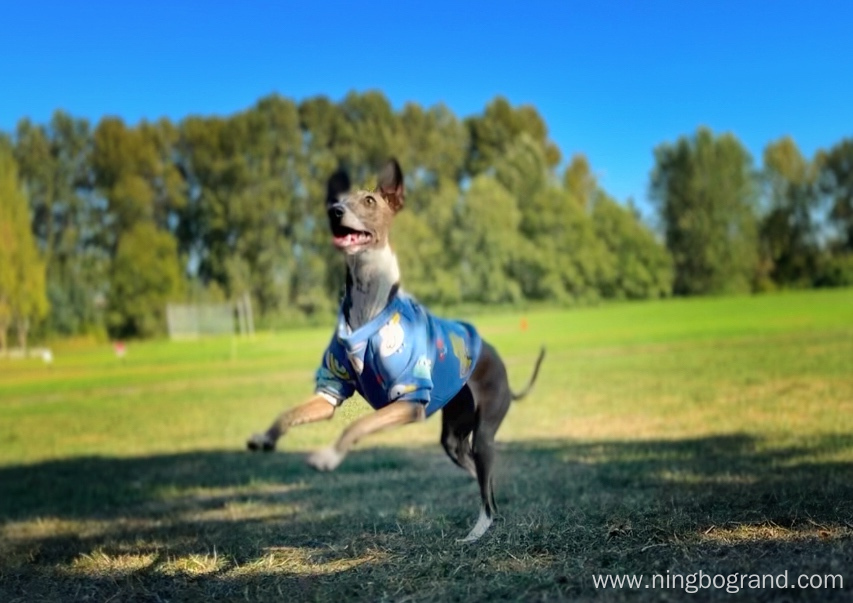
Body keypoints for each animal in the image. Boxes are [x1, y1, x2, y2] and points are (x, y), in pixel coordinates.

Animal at [245, 159, 544, 544]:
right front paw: (265, 438)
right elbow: (290, 412)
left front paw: (327, 457)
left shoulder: (408, 401)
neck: (368, 304)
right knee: (483, 480)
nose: (334, 211)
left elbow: (356, 425)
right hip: (454, 437)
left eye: (369, 200)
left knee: (487, 490)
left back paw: (476, 532)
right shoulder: (331, 388)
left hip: (484, 431)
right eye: (337, 200)